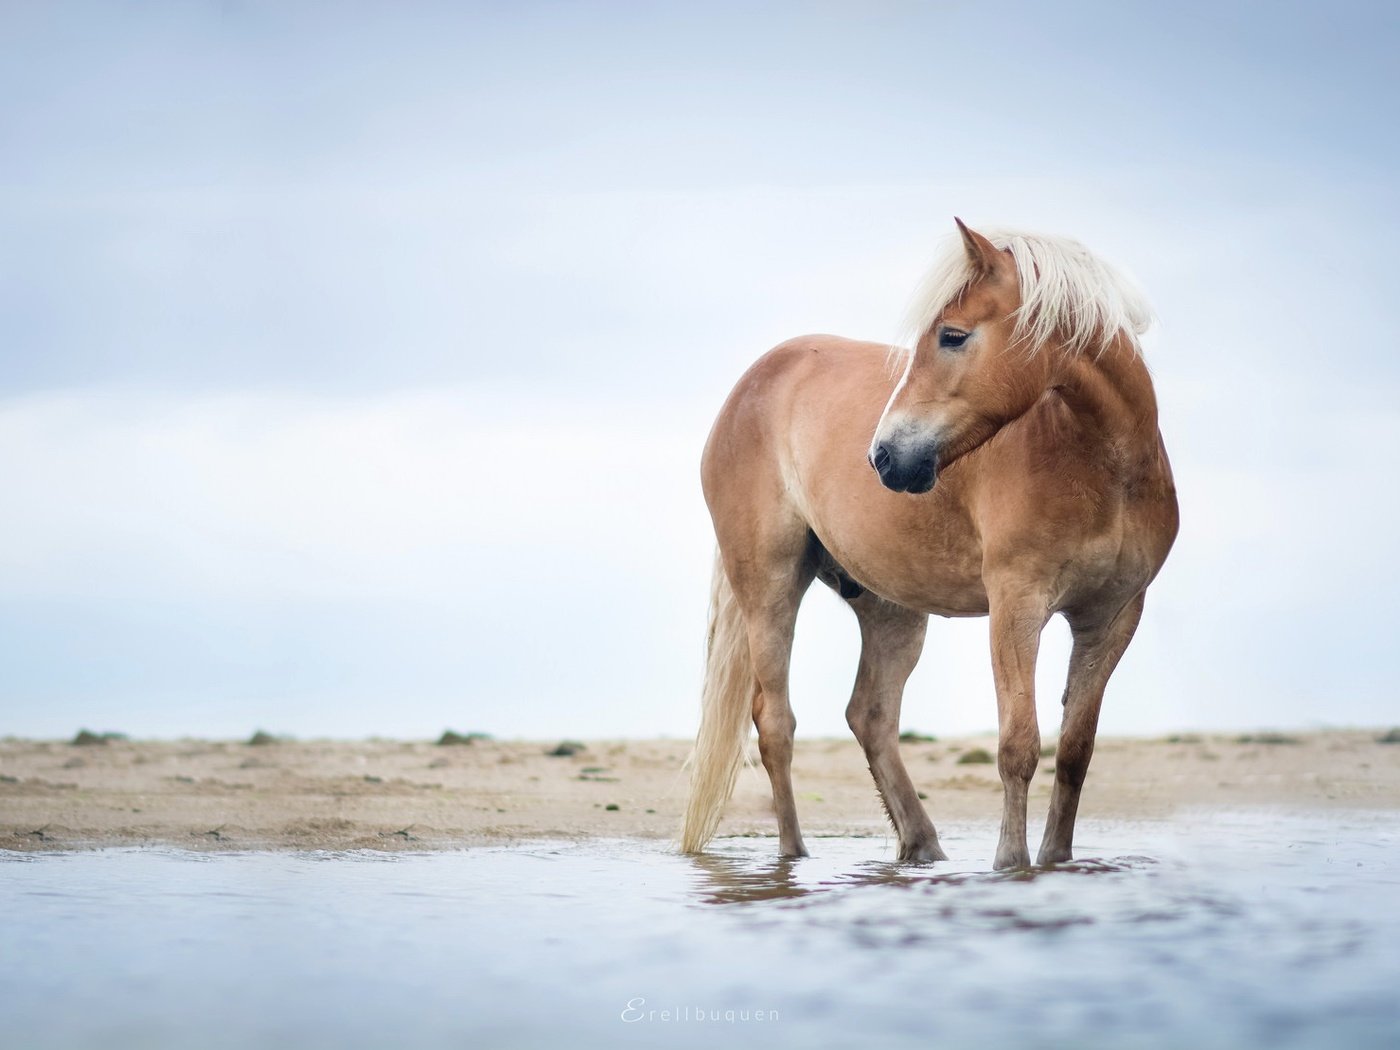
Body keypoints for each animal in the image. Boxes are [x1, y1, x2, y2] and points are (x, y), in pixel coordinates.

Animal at [683, 219, 1176, 873]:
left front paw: (1056, 861)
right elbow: (1019, 744)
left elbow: (1075, 750)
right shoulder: (1017, 605)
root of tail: (752, 384)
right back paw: (795, 856)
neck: (1104, 465)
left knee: (870, 716)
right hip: (769, 585)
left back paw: (922, 847)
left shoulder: (1113, 617)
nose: (884, 458)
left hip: (890, 609)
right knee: (776, 725)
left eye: (952, 335)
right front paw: (1011, 864)